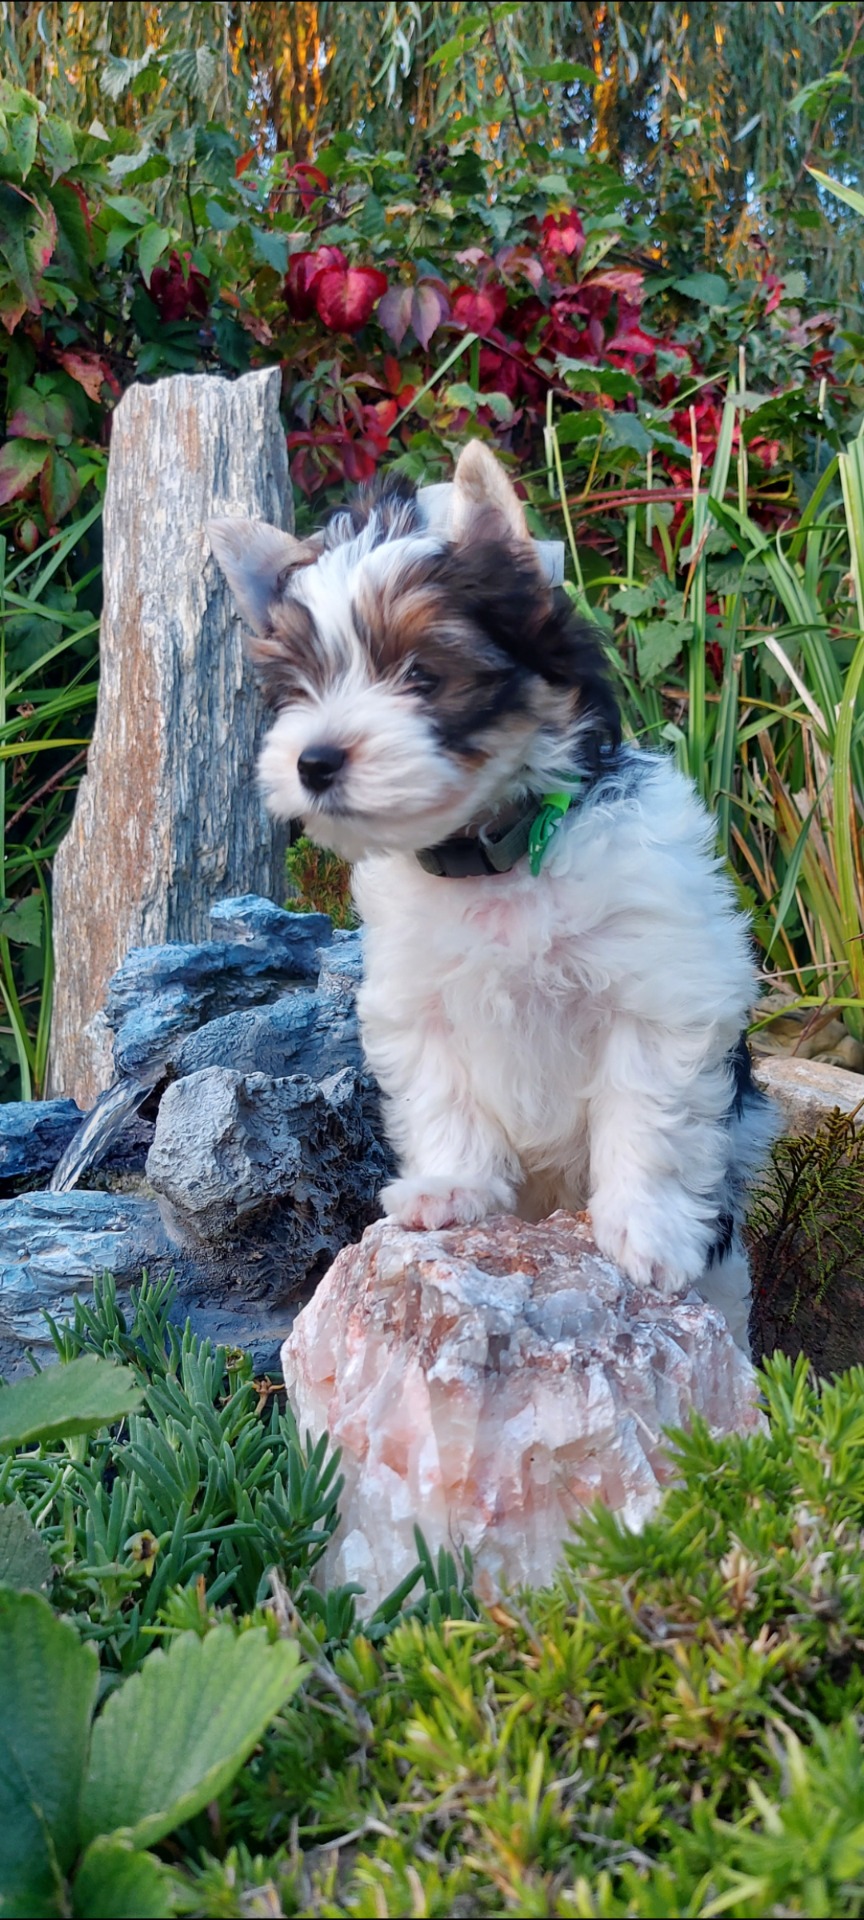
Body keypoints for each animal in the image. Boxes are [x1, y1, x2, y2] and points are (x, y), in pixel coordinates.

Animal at [209, 441, 774, 1348]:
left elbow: (647, 1110)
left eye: (421, 673)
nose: (314, 761)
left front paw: (645, 1229)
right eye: (298, 688)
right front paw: (451, 1189)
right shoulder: (419, 1003)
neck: (499, 858)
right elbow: (444, 1095)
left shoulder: (658, 990)